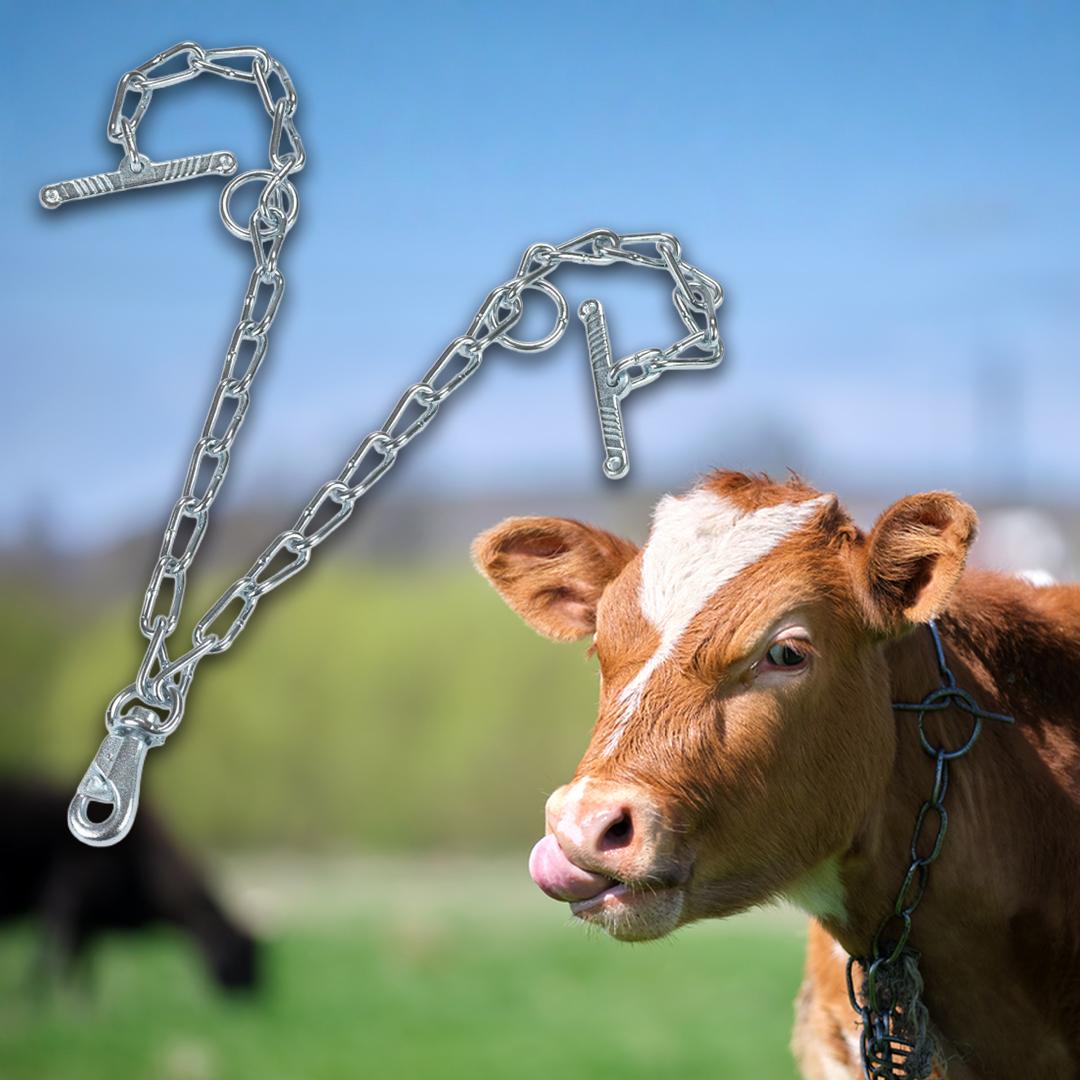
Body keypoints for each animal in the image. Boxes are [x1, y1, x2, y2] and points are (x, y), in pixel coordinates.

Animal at [1, 777, 259, 993]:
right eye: (241, 951)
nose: (252, 993)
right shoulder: (66, 902)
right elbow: (57, 962)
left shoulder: (86, 920)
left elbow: (80, 967)